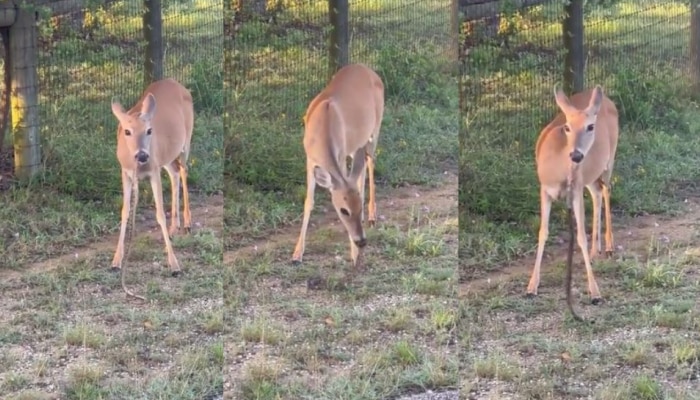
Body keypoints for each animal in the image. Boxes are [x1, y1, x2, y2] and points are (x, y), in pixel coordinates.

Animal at [110, 78, 196, 278]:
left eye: (149, 130)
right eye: (127, 131)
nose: (142, 155)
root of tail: (175, 82)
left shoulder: (154, 171)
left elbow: (160, 214)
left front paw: (174, 265)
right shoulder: (126, 172)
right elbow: (125, 211)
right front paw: (117, 260)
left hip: (186, 140)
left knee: (184, 170)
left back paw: (187, 223)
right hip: (166, 156)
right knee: (174, 172)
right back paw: (174, 228)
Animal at [292, 63, 386, 268]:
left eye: (358, 208)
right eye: (344, 210)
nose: (362, 241)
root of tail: (369, 69)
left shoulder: (341, 155)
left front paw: (355, 255)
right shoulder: (310, 159)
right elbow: (309, 201)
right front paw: (297, 254)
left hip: (375, 127)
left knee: (371, 161)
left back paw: (372, 216)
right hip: (357, 145)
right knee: (362, 170)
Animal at [528, 83, 620, 304]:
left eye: (590, 126)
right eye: (567, 127)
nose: (576, 155)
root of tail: (607, 100)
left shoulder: (576, 190)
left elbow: (580, 237)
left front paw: (595, 292)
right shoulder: (544, 189)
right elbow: (543, 232)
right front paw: (532, 286)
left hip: (609, 159)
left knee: (606, 190)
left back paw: (609, 246)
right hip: (590, 176)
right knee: (597, 193)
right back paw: (596, 252)